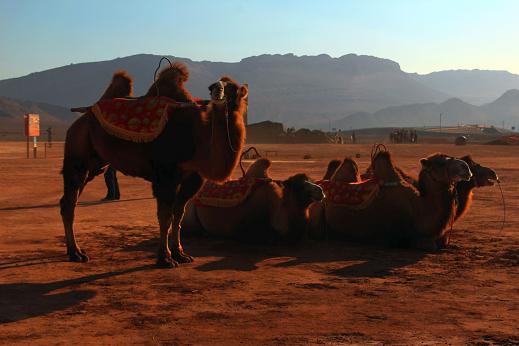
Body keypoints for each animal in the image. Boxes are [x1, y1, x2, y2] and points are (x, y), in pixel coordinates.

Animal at [61, 62, 248, 268]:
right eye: (220, 84)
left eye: (232, 87)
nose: (214, 88)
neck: (197, 139)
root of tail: (81, 119)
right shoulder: (165, 173)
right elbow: (165, 216)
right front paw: (165, 258)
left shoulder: (193, 177)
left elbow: (179, 214)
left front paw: (180, 253)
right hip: (77, 155)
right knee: (68, 202)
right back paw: (76, 253)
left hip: (94, 164)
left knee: (70, 199)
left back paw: (75, 251)